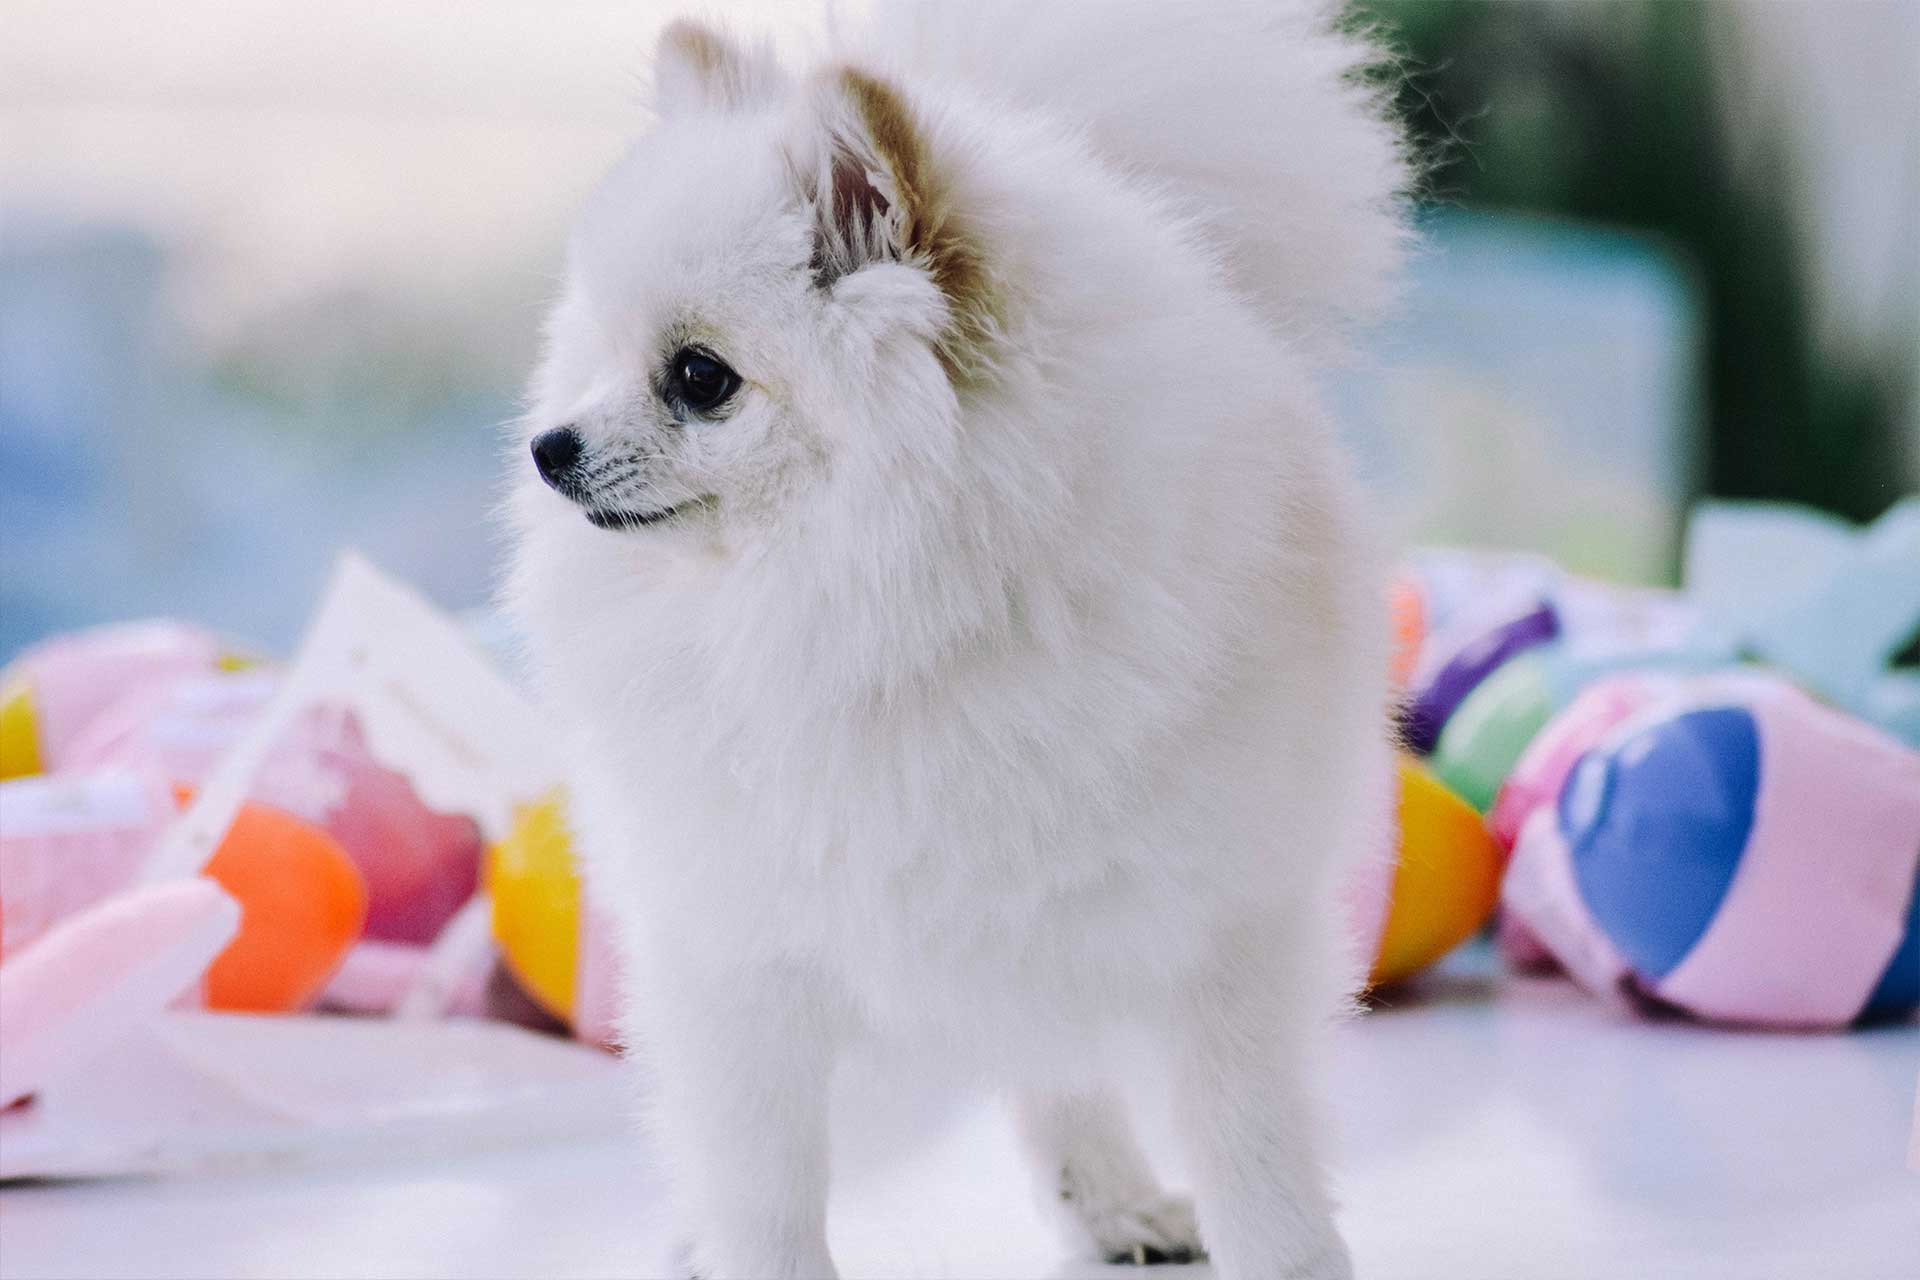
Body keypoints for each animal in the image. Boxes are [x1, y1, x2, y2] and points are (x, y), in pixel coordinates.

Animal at [510, 5, 1413, 1274]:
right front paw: (746, 1251)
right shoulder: (743, 948)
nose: (550, 447)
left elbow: (1254, 1151)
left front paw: (1282, 1255)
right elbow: (760, 1178)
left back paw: (1115, 1205)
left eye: (698, 377)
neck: (880, 607)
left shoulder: (1223, 925)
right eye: (593, 356)